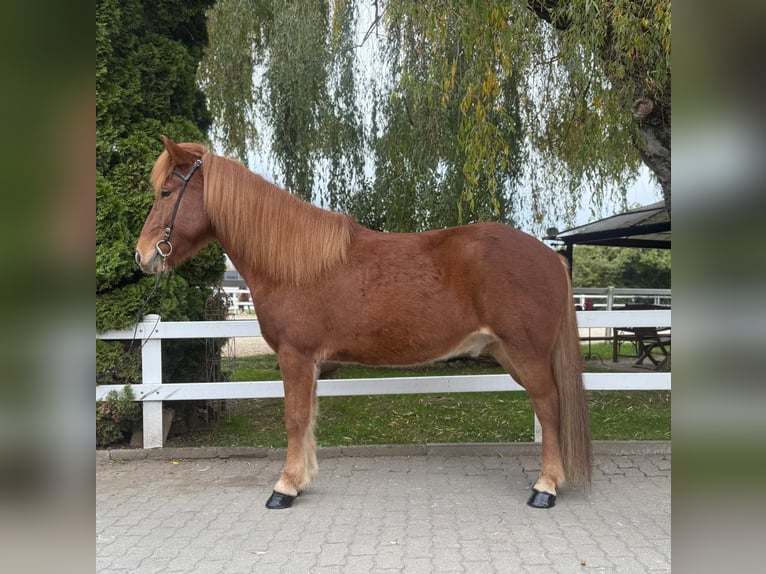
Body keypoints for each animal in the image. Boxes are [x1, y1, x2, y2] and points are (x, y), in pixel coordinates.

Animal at [135, 136, 592, 510]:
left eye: (166, 192)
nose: (142, 255)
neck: (294, 265)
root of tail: (550, 256)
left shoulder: (295, 356)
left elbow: (294, 418)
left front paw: (284, 488)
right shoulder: (312, 363)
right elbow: (308, 417)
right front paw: (302, 480)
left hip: (525, 353)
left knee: (549, 406)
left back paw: (545, 488)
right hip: (509, 353)